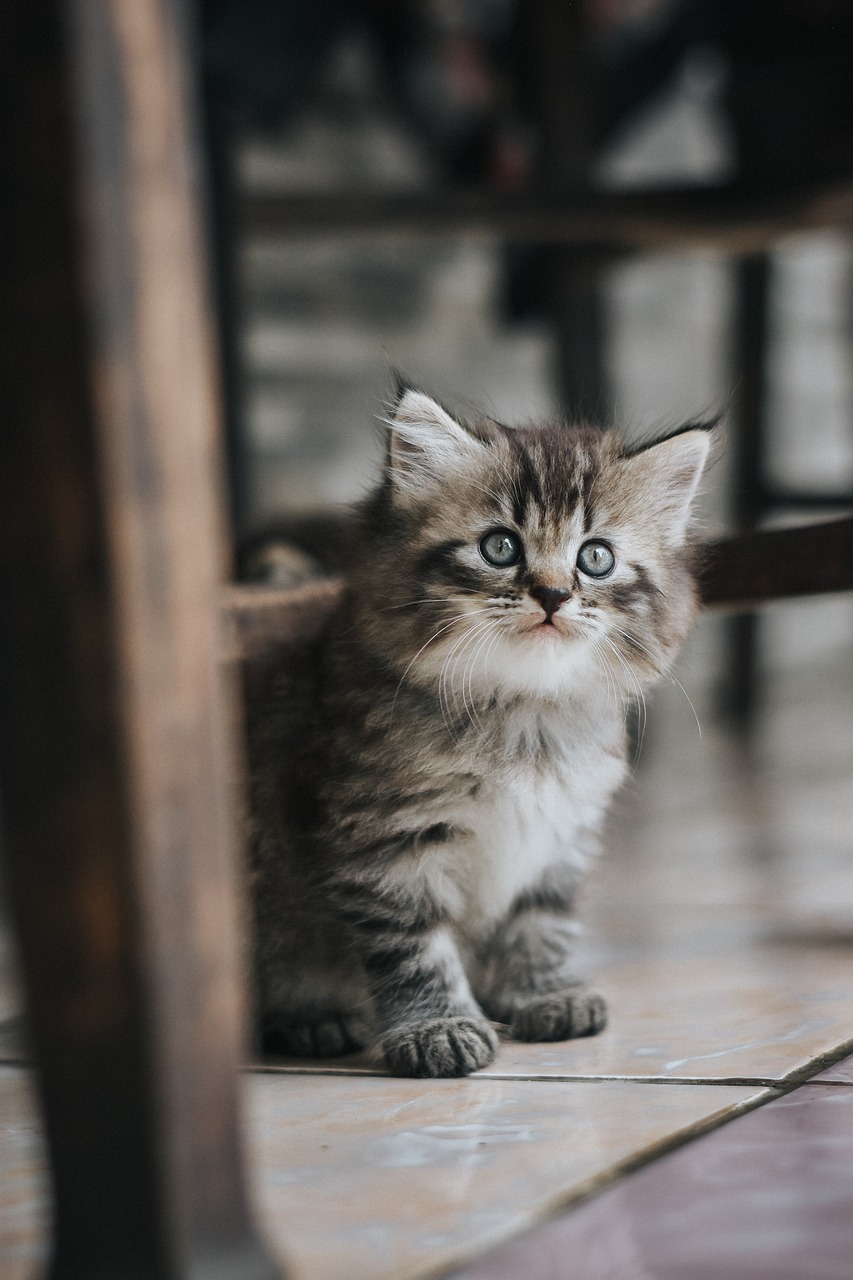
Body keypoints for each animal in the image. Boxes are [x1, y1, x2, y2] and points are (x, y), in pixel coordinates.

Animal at [245, 384, 712, 1075]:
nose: (553, 595)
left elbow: (540, 924)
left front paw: (541, 994)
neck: (523, 716)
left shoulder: (559, 839)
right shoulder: (384, 845)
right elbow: (415, 948)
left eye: (595, 558)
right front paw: (436, 1028)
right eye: (500, 547)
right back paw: (314, 1020)